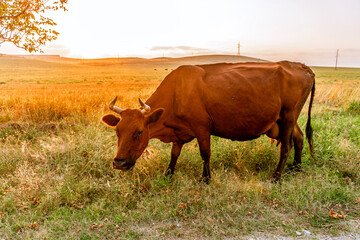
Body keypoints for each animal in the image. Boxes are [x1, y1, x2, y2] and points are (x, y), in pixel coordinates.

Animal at [102, 61, 316, 183]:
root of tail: (301, 66)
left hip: (289, 115)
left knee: (286, 146)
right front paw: (168, 174)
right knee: (299, 138)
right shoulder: (179, 132)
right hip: (284, 119)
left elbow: (205, 154)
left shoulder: (202, 127)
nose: (119, 163)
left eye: (139, 132)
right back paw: (296, 168)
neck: (176, 93)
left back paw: (277, 177)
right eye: (117, 131)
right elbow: (174, 154)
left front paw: (206, 179)